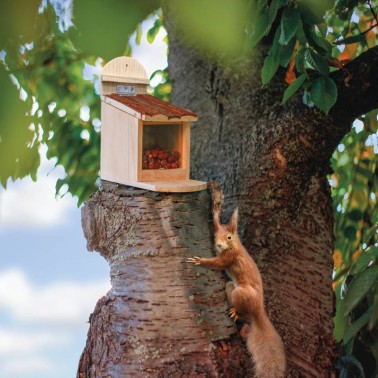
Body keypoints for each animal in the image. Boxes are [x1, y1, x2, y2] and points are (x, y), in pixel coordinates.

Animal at [186, 208, 286, 376]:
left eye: (229, 236)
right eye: (215, 235)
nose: (219, 244)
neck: (233, 245)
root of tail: (258, 308)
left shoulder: (228, 257)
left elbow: (217, 263)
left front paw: (200, 261)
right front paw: (215, 215)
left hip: (241, 293)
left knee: (242, 309)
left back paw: (236, 312)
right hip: (230, 287)